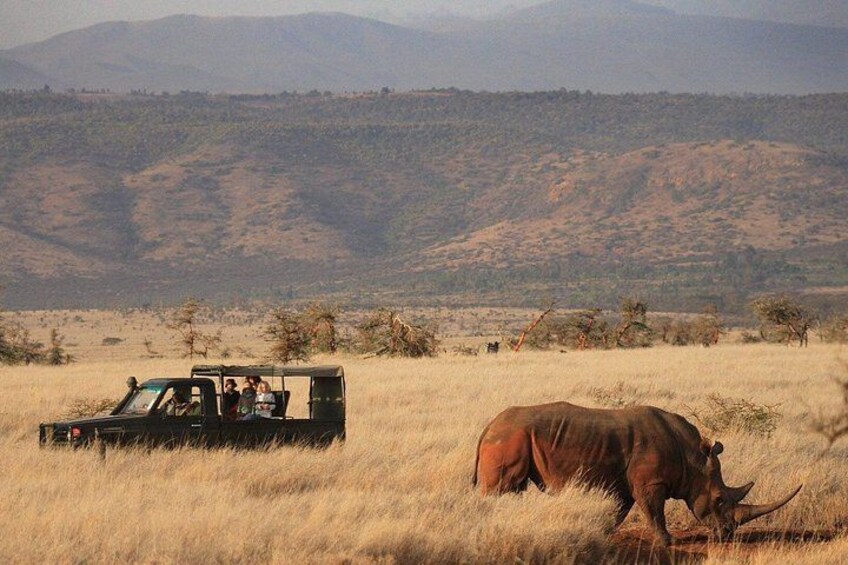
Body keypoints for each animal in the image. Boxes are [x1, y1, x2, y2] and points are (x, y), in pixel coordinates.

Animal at [473, 402, 801, 545]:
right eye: (720, 499)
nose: (728, 535)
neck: (692, 458)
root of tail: (488, 426)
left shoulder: (625, 483)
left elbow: (620, 510)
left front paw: (604, 533)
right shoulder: (650, 482)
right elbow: (654, 512)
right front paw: (667, 542)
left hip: (512, 437)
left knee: (512, 489)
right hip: (509, 439)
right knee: (502, 488)